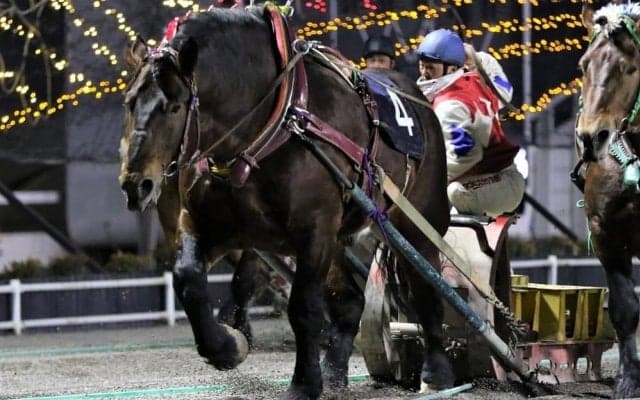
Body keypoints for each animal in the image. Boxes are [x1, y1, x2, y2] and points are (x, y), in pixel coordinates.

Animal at [118, 5, 449, 399]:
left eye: (174, 106)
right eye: (129, 103)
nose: (135, 184)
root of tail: (418, 97)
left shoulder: (314, 230)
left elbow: (303, 307)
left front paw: (303, 382)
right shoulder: (213, 226)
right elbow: (189, 280)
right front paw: (227, 346)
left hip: (418, 220)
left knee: (428, 286)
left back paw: (436, 370)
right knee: (351, 302)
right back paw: (335, 371)